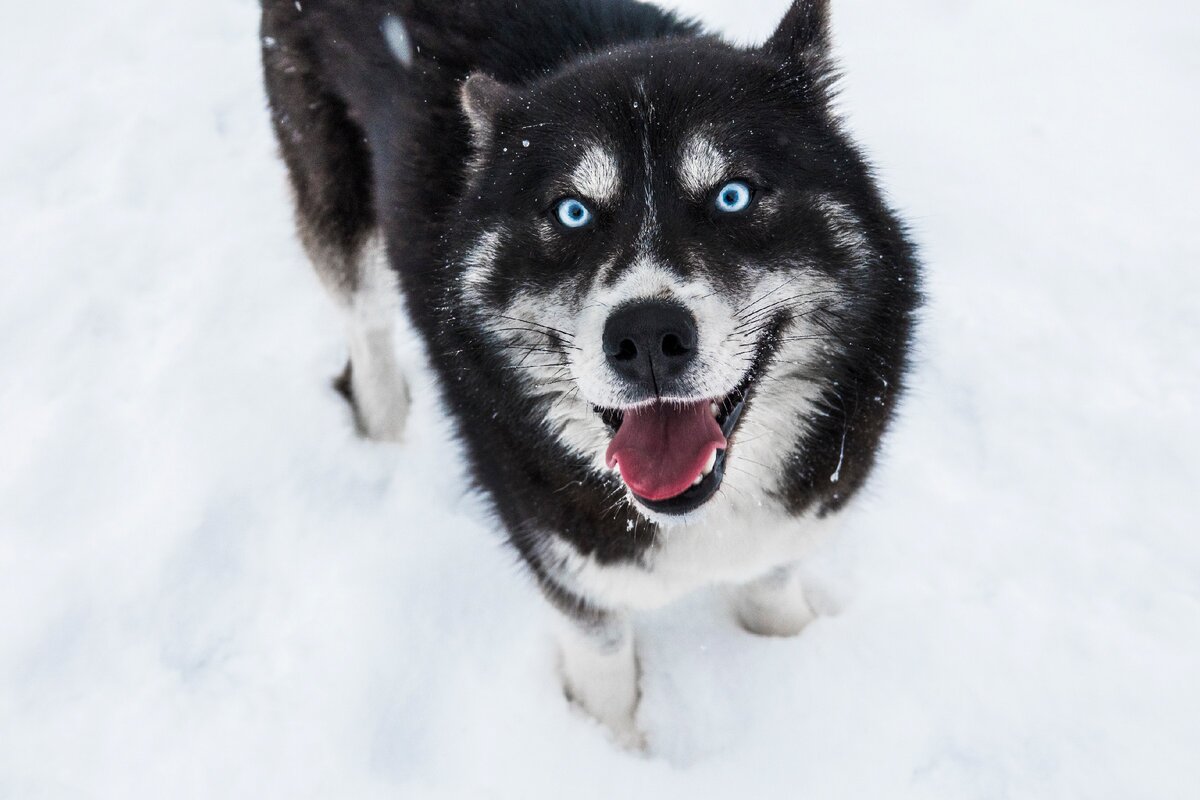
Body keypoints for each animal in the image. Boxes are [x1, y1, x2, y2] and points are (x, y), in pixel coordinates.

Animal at [260, 0, 916, 743]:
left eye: (733, 196)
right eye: (571, 212)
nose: (648, 336)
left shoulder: (783, 536)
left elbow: (774, 600)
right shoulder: (574, 585)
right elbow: (607, 686)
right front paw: (617, 751)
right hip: (337, 197)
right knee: (365, 322)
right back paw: (383, 426)